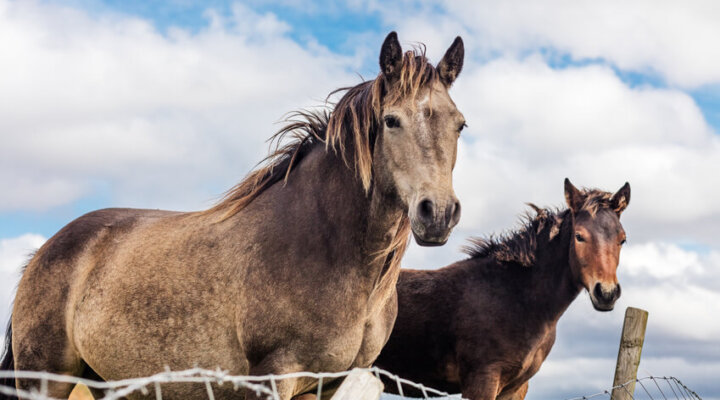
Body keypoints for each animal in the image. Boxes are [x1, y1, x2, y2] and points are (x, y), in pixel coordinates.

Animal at [0, 32, 466, 400]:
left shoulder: (332, 384)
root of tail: (44, 252)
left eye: (459, 124)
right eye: (391, 121)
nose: (438, 213)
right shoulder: (272, 377)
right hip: (46, 379)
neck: (326, 247)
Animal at [374, 178, 630, 400]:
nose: (606, 293)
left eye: (622, 239)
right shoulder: (481, 381)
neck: (516, 297)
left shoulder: (515, 388)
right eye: (579, 236)